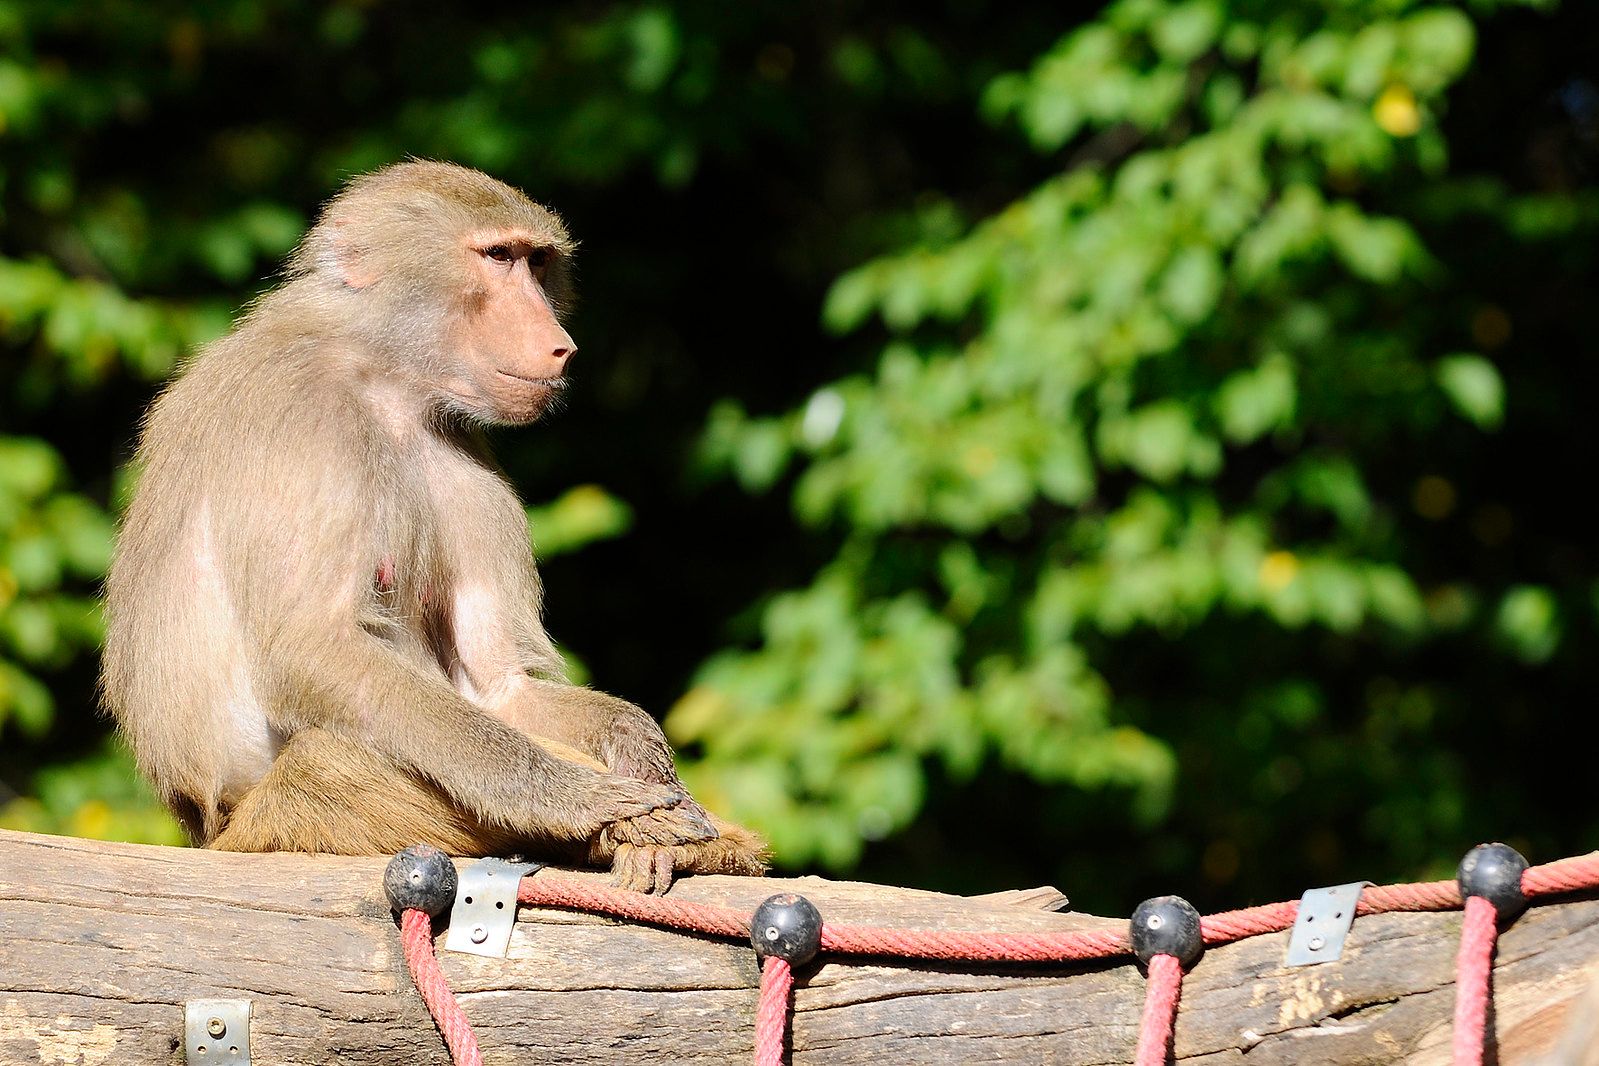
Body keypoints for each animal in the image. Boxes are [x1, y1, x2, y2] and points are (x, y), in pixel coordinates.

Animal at [101, 161, 768, 893]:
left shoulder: (464, 459)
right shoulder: (302, 421)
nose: (561, 347)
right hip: (306, 808)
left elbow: (498, 686)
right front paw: (573, 798)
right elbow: (312, 645)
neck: (379, 375)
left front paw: (641, 758)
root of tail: (214, 824)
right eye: (497, 257)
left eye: (538, 262)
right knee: (337, 754)